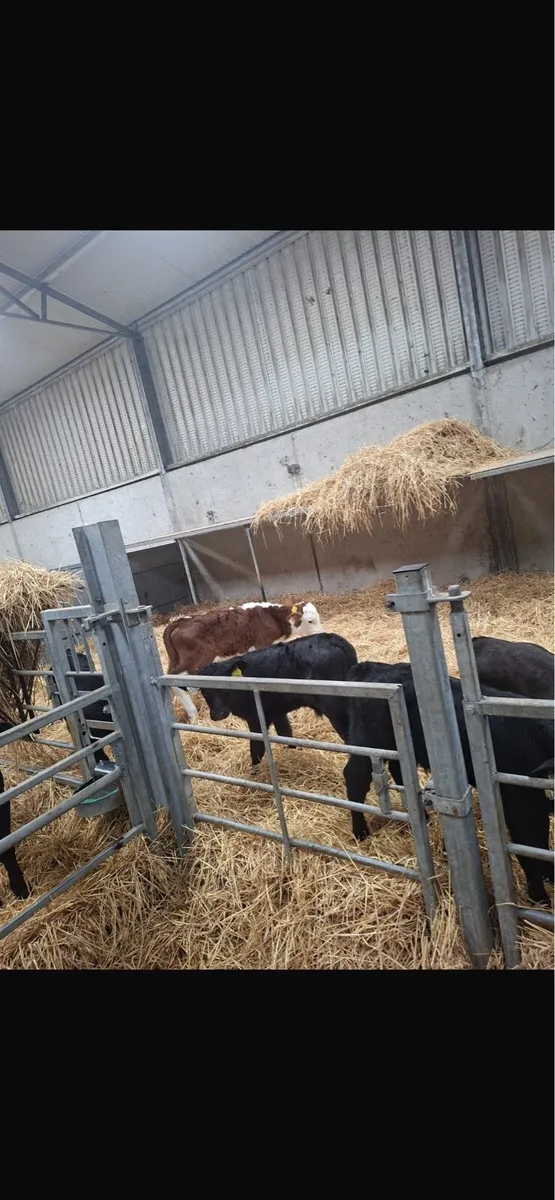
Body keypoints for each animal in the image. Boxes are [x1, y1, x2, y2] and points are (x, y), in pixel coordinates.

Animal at [165, 600, 324, 722]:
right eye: (310, 621)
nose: (321, 634)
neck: (272, 617)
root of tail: (182, 620)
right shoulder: (262, 645)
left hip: (177, 660)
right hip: (196, 661)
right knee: (175, 680)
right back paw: (193, 713)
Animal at [196, 633, 357, 768]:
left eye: (224, 685)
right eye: (203, 690)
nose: (219, 714)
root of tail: (333, 640)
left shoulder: (256, 718)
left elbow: (256, 748)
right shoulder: (277, 712)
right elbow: (286, 734)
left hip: (336, 710)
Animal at [314, 661, 554, 907]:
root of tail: (370, 667)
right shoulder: (521, 800)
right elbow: (530, 846)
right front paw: (541, 897)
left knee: (398, 770)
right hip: (368, 742)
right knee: (355, 777)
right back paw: (360, 831)